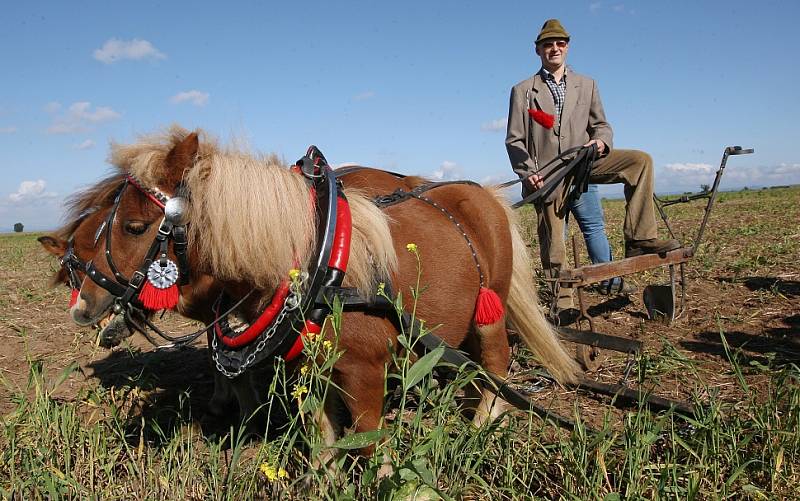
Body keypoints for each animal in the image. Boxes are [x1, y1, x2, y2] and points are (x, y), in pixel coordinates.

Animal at [70, 127, 580, 444]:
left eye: (135, 227)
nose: (82, 305)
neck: (316, 268)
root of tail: (486, 194)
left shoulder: (365, 372)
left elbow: (368, 441)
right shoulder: (309, 368)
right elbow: (322, 434)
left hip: (490, 305)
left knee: (495, 362)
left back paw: (480, 427)